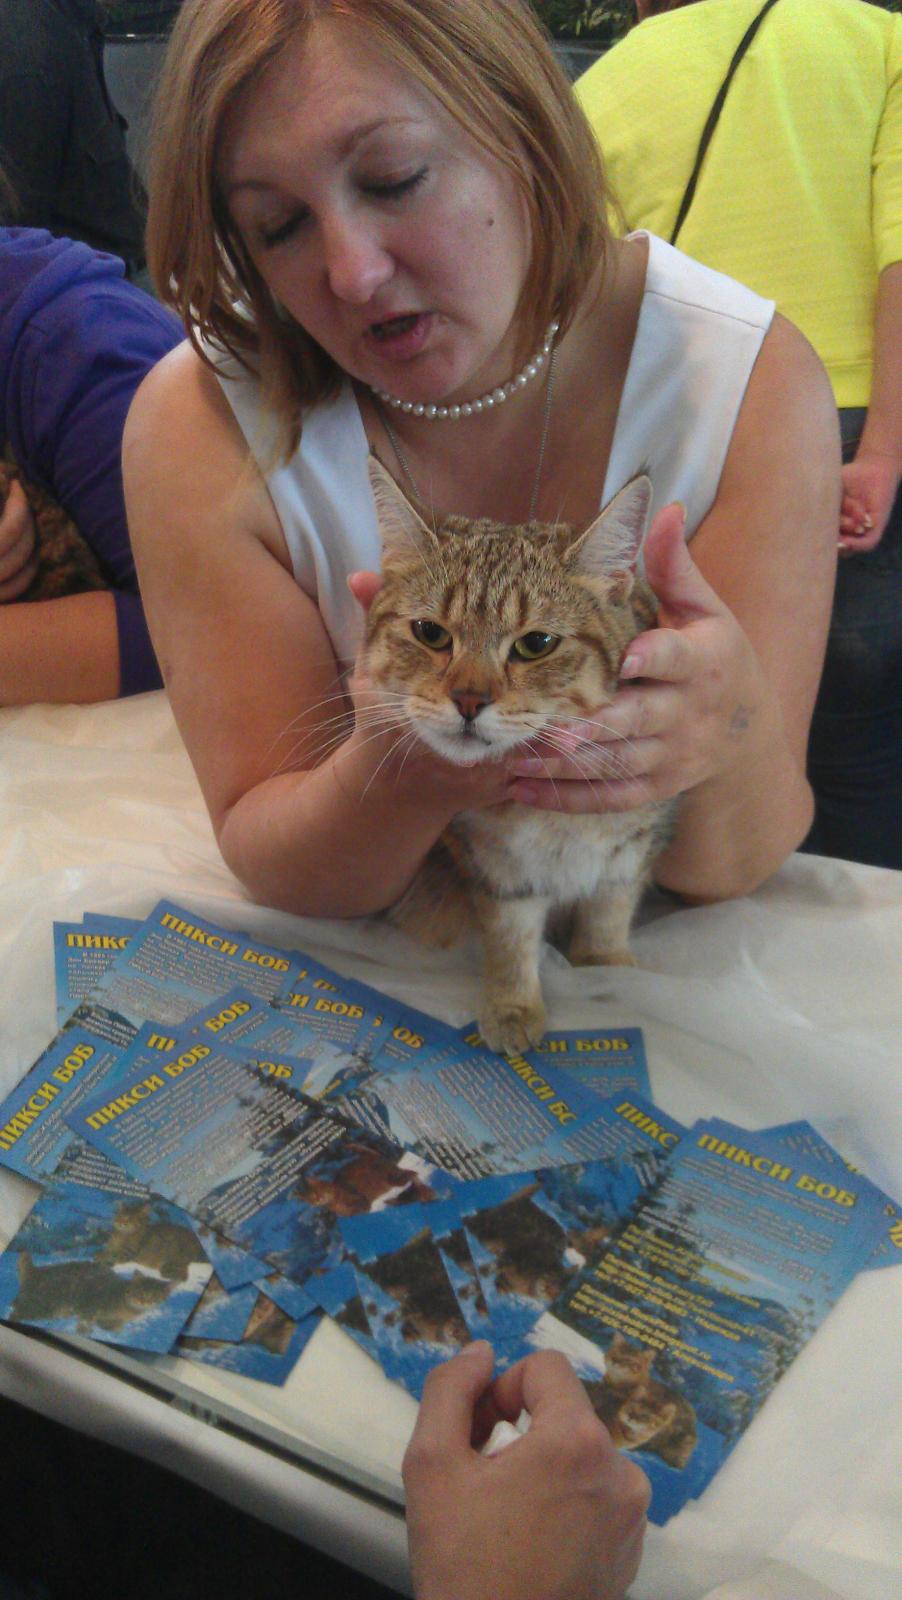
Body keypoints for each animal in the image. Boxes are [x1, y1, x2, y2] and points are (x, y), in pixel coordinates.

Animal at [362, 457, 676, 1052]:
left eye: (536, 644)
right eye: (430, 633)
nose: (467, 701)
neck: (553, 817)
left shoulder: (637, 840)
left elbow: (610, 906)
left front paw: (604, 968)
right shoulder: (498, 867)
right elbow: (510, 937)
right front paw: (513, 1005)